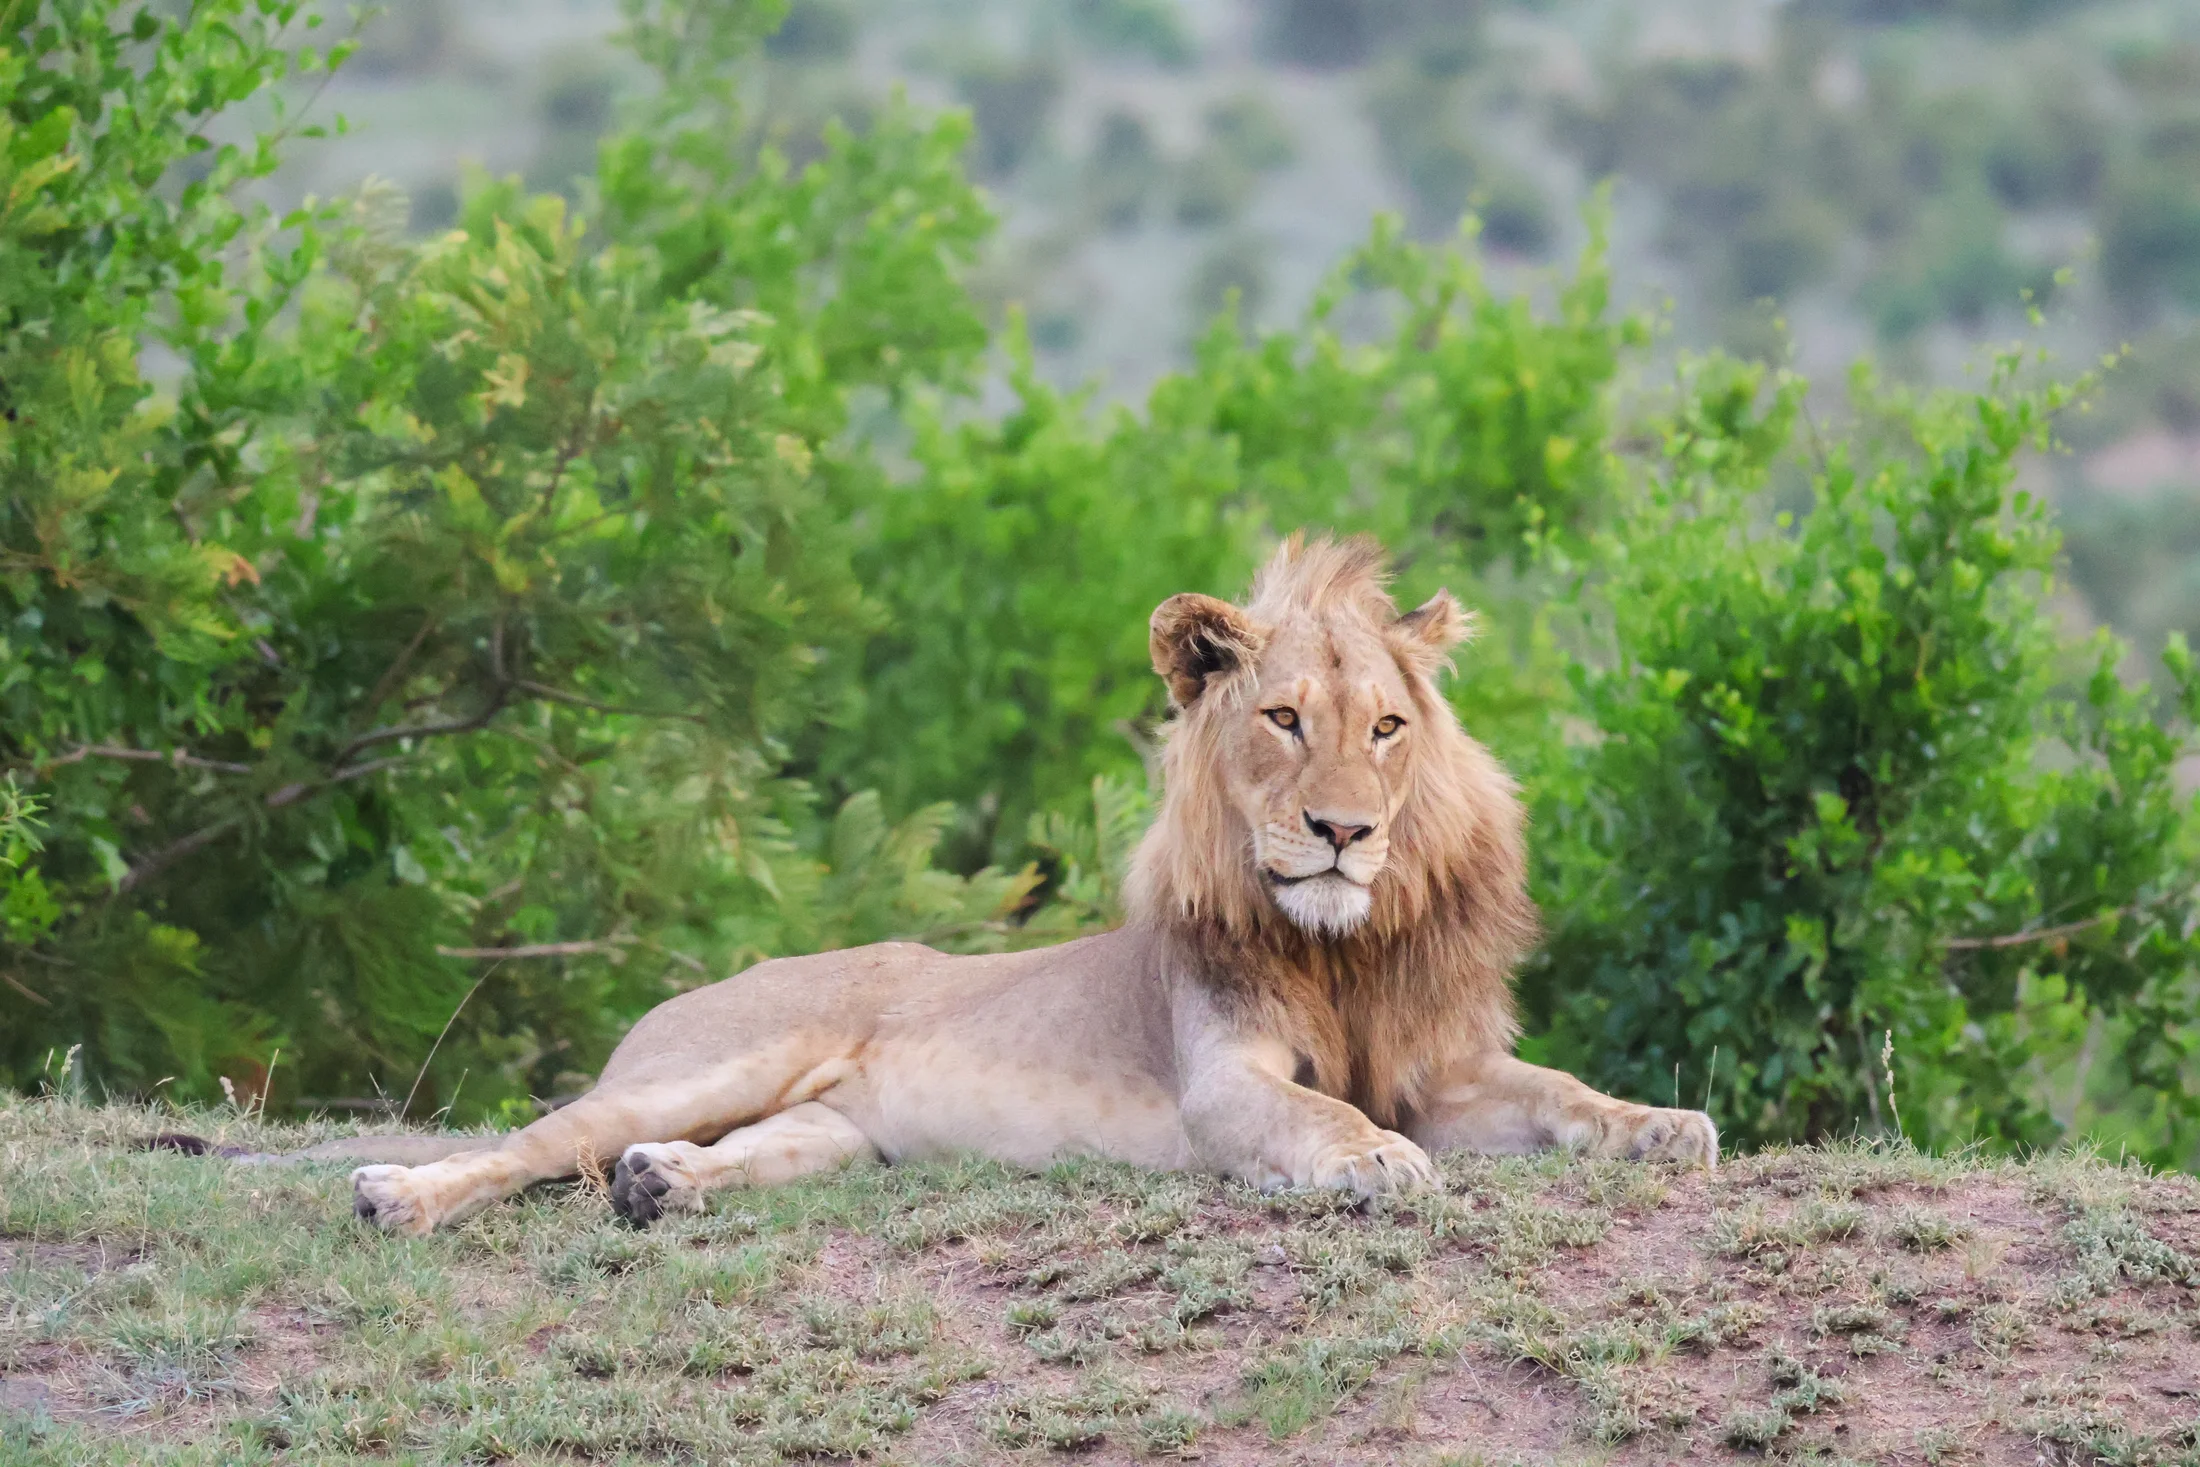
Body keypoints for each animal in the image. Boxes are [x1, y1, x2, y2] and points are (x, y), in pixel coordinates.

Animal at [324, 535, 1714, 1235]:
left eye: (1385, 728)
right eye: (1281, 718)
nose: (1344, 832)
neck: (1341, 945)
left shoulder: (1446, 1071)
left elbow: (1562, 1095)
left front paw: (1664, 1126)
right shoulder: (1224, 1085)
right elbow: (1321, 1116)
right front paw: (1375, 1161)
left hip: (831, 1134)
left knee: (728, 1154)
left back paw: (660, 1183)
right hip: (712, 1061)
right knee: (532, 1144)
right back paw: (399, 1196)